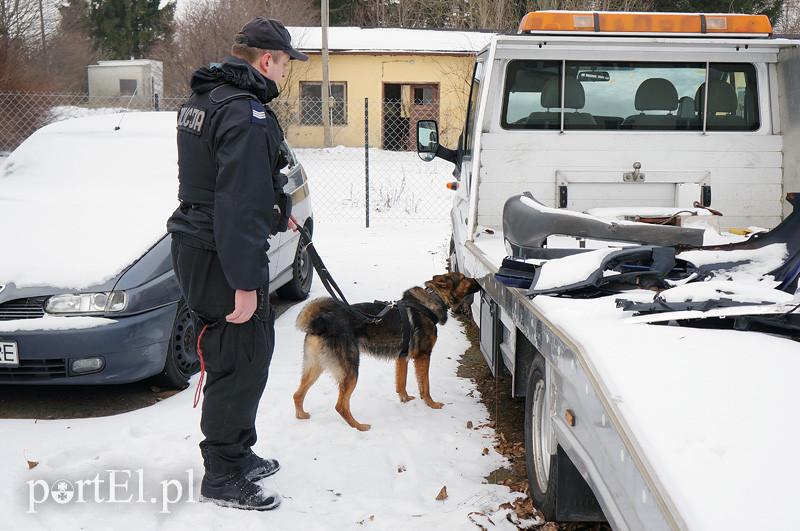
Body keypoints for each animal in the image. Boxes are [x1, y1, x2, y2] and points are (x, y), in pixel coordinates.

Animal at [294, 272, 482, 430]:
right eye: (464, 278)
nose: (479, 281)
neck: (434, 298)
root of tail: (319, 322)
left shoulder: (402, 357)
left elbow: (401, 383)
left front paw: (405, 400)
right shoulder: (423, 356)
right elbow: (425, 385)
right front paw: (431, 404)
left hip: (315, 368)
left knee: (297, 394)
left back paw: (301, 416)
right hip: (351, 370)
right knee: (340, 405)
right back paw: (359, 426)